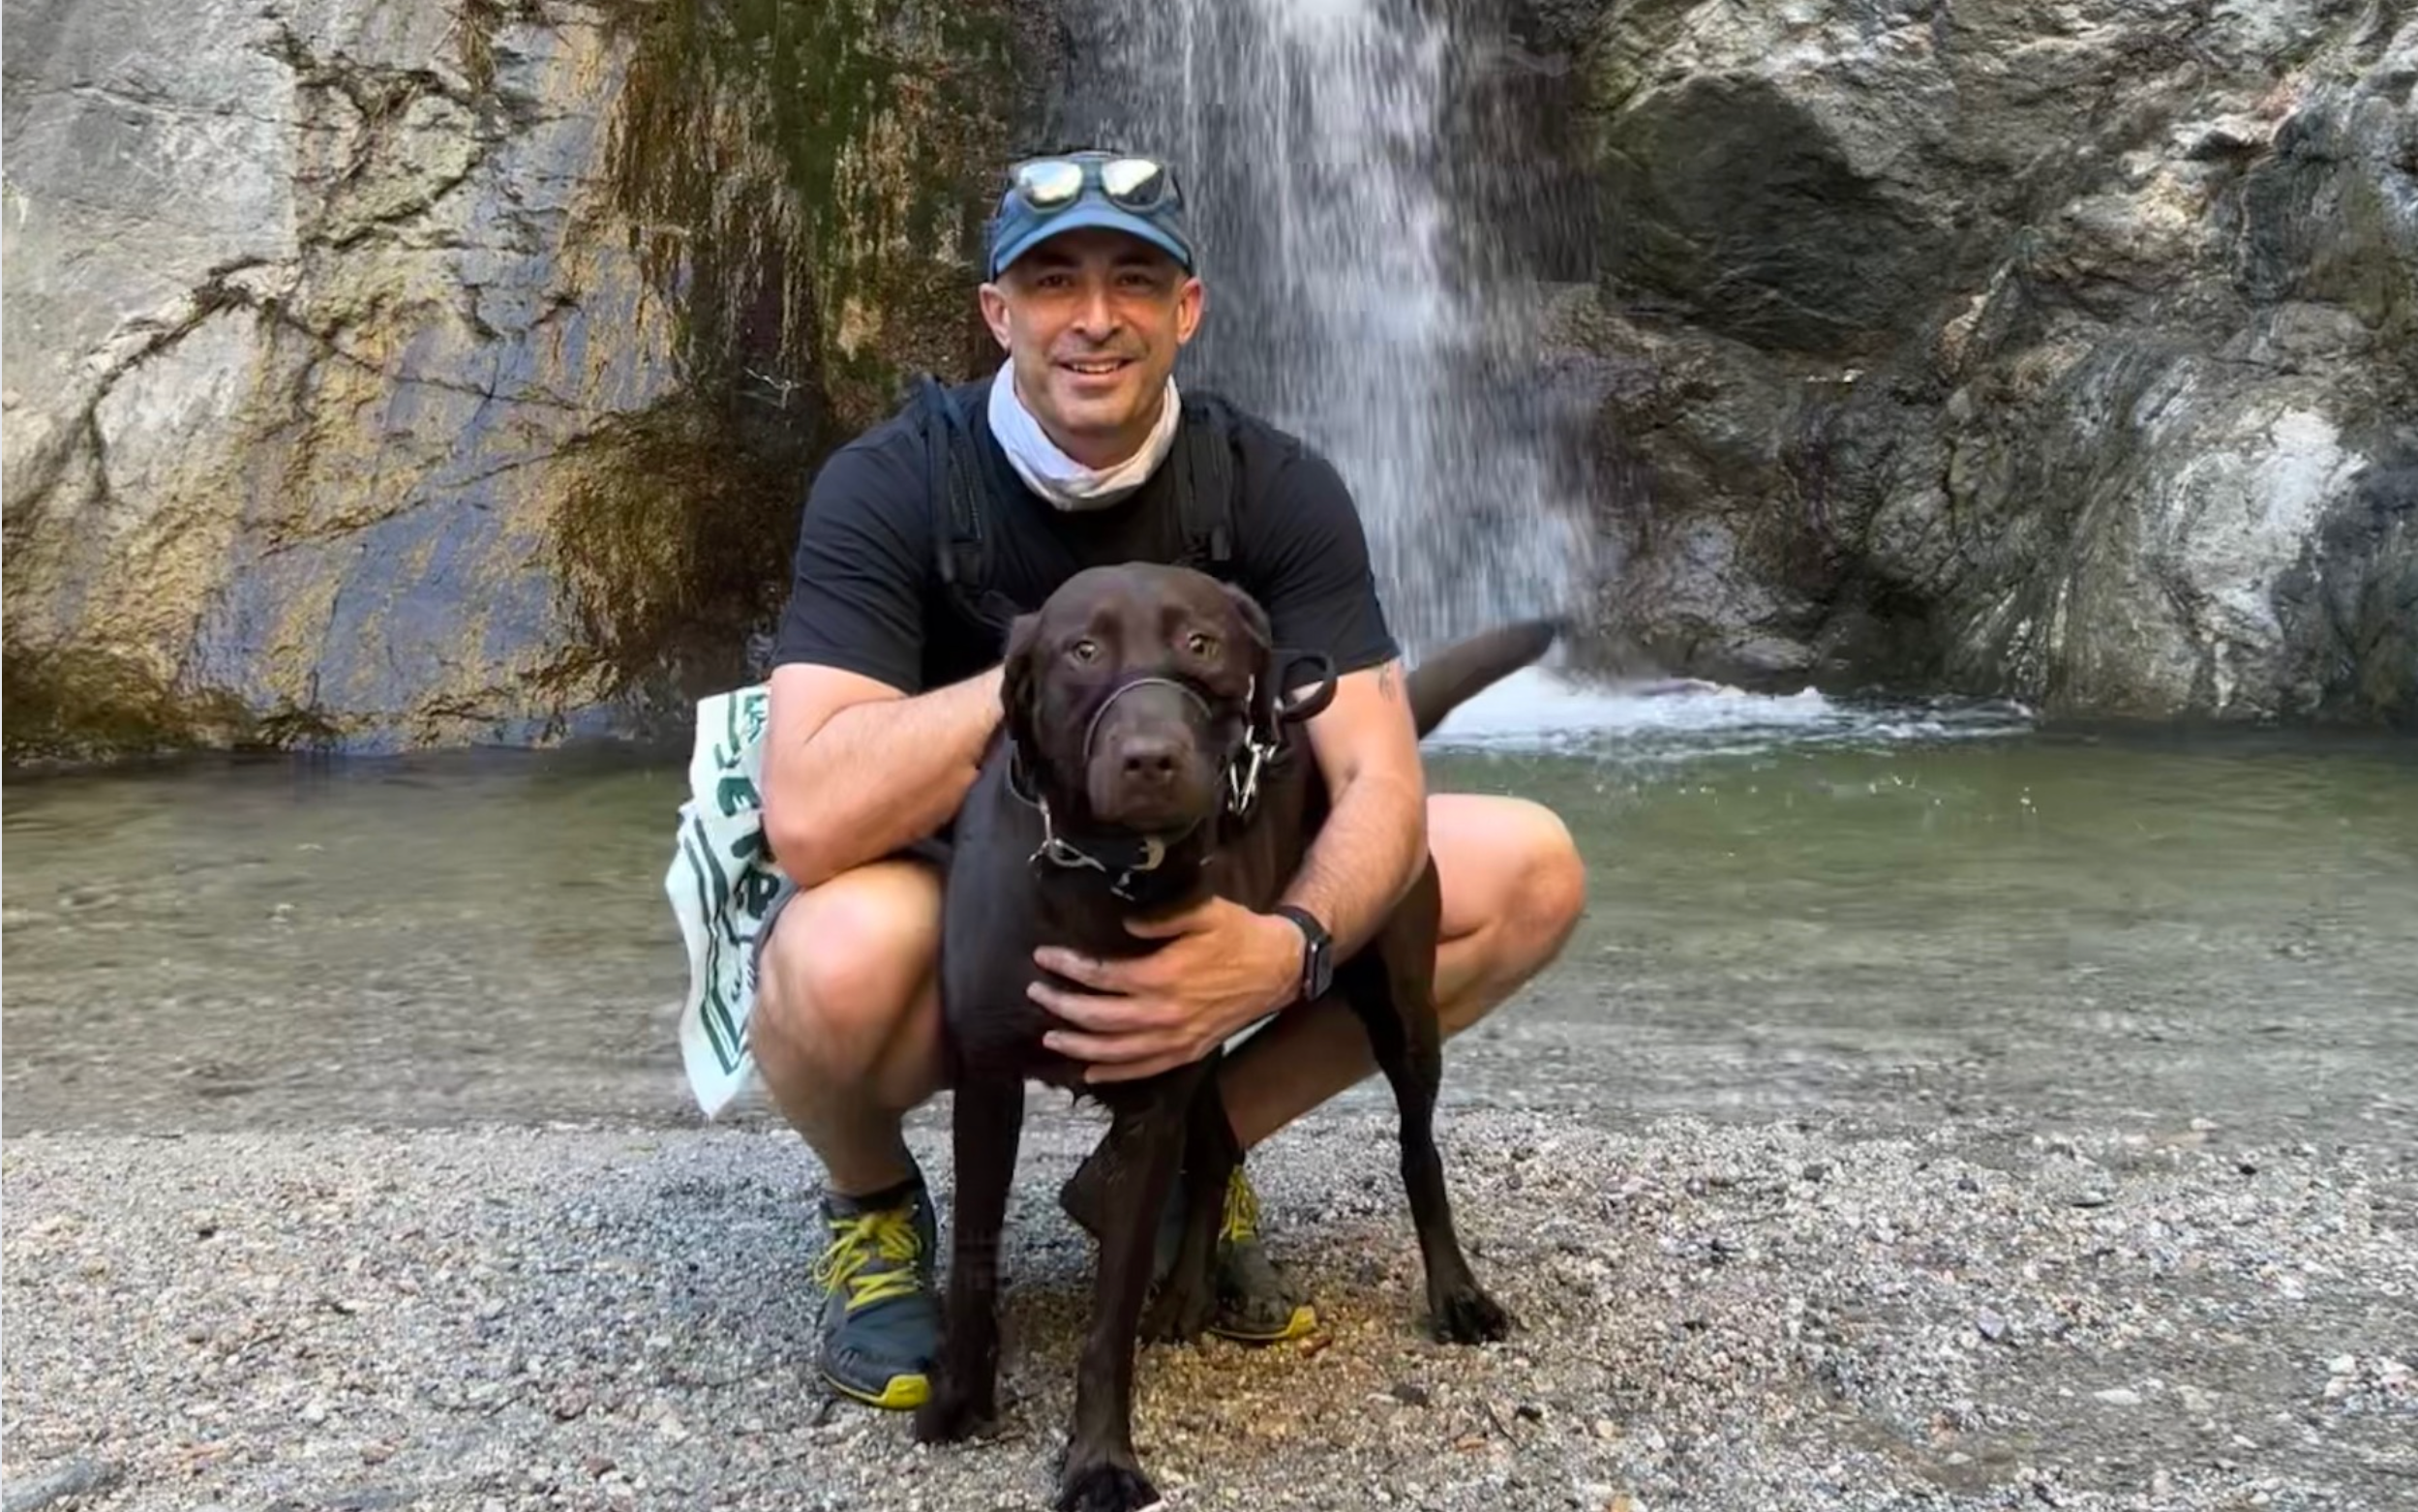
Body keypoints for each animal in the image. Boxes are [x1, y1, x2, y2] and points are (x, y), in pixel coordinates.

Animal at [911, 562, 1559, 1512]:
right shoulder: (988, 1082)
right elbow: (972, 1258)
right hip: (1203, 1031)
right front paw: (960, 1400)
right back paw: (1183, 1297)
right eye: (1082, 650)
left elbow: (1108, 1318)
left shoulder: (1149, 1105)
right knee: (1216, 1147)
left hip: (1399, 1008)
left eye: (1201, 644)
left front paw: (1100, 1461)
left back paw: (1456, 1294)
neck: (1101, 871)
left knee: (1418, 1149)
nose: (1151, 760)